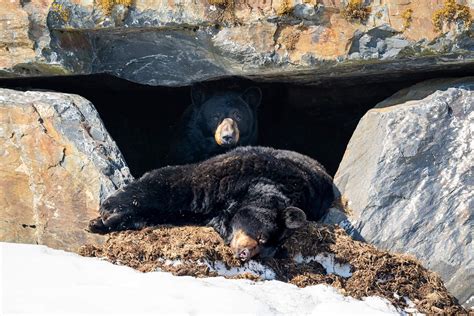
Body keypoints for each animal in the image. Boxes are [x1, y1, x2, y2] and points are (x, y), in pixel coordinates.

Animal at [89, 147, 334, 262]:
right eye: (263, 237)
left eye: (266, 250)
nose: (245, 254)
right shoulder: (234, 172)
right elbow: (175, 185)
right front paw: (107, 210)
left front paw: (105, 221)